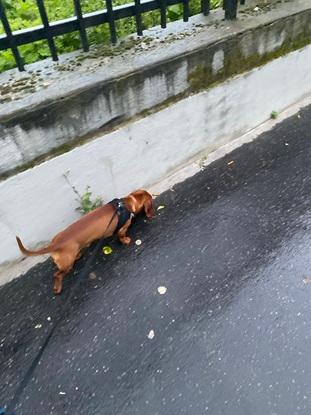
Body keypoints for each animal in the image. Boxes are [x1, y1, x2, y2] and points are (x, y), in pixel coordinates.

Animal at [16, 190, 154, 294]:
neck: (126, 204)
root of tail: (55, 244)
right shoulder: (123, 228)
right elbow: (122, 235)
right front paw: (125, 240)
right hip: (67, 265)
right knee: (57, 275)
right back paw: (57, 288)